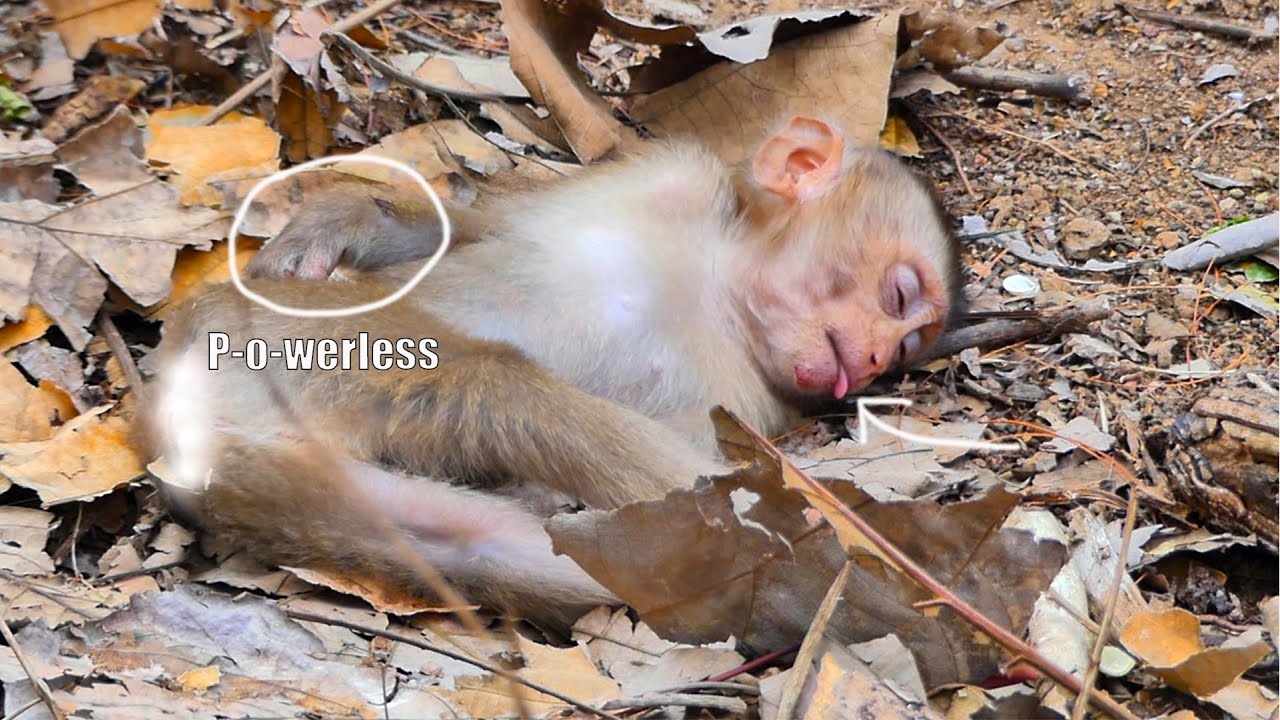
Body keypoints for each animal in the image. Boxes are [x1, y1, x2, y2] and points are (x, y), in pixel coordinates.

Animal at [145, 115, 963, 628]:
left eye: (908, 342)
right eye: (898, 295)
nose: (878, 357)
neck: (718, 283)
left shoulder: (742, 400)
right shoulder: (668, 173)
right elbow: (481, 224)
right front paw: (342, 220)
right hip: (278, 338)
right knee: (499, 383)